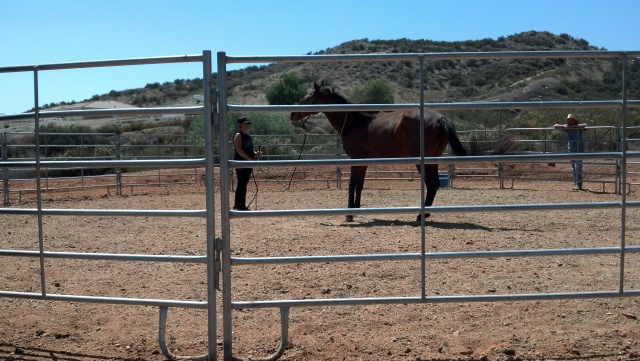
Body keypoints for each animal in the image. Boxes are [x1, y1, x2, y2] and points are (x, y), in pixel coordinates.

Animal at [292, 81, 468, 221]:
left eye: (309, 96)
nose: (292, 114)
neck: (355, 122)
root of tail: (440, 118)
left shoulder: (355, 158)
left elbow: (352, 183)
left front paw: (349, 214)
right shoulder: (364, 160)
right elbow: (359, 184)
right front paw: (356, 209)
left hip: (422, 161)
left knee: (431, 183)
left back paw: (421, 215)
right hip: (434, 159)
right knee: (436, 183)